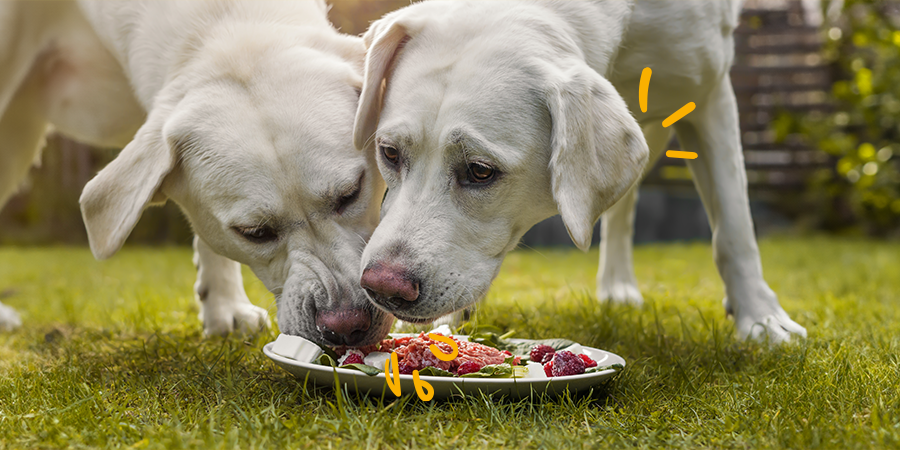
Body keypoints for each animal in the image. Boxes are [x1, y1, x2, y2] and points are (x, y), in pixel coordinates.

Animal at [354, 0, 808, 342]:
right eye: (389, 153)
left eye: (480, 171)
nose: (381, 287)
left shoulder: (710, 94)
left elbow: (733, 224)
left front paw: (762, 318)